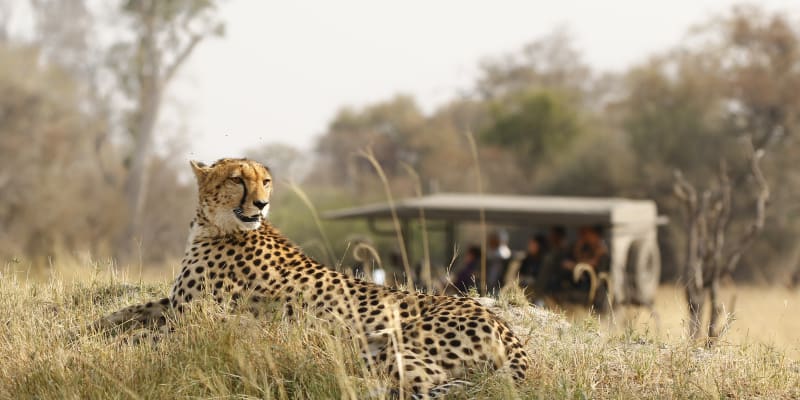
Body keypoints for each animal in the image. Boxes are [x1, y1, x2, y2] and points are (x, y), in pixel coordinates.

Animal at [94, 158, 532, 397]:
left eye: (265, 180)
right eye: (238, 179)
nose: (261, 203)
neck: (215, 225)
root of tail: (502, 324)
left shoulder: (199, 318)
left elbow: (143, 336)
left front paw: (111, 344)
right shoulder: (176, 303)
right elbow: (128, 311)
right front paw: (93, 328)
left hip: (377, 341)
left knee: (431, 385)